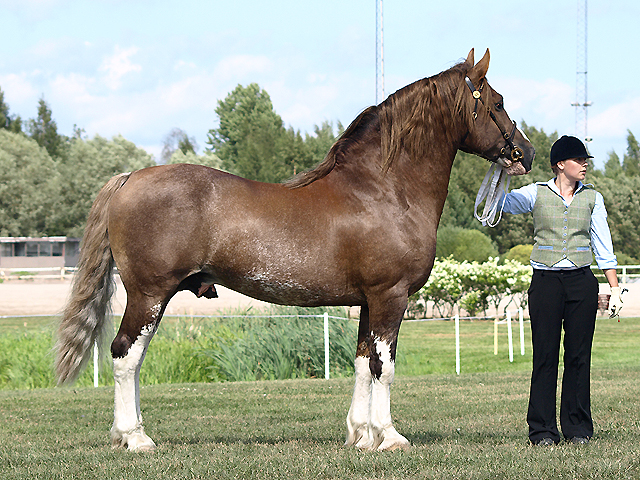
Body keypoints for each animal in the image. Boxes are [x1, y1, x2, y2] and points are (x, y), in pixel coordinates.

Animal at [56, 50, 536, 452]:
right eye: (496, 102)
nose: (527, 153)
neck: (384, 189)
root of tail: (130, 178)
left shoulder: (367, 302)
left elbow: (361, 363)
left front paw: (361, 436)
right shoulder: (390, 297)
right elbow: (384, 366)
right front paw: (390, 436)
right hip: (149, 294)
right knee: (125, 356)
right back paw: (135, 439)